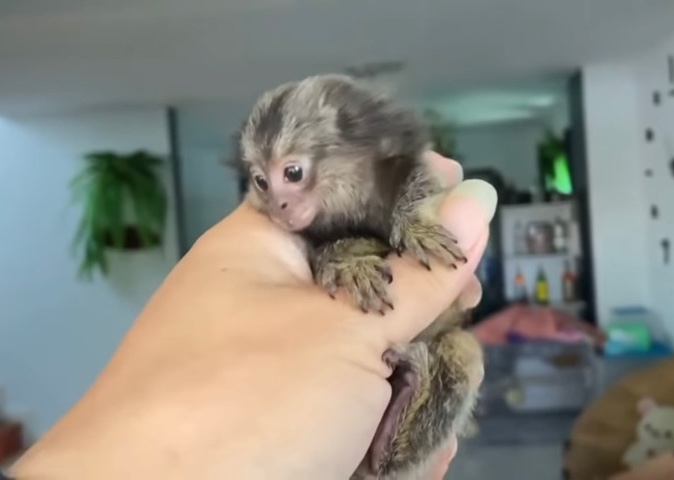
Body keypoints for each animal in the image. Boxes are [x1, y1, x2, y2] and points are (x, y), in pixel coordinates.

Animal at [232, 73, 483, 479]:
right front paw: (347, 264)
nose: (279, 208)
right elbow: (322, 255)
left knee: (463, 350)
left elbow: (420, 184)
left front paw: (413, 224)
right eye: (261, 182)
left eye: (293, 173)